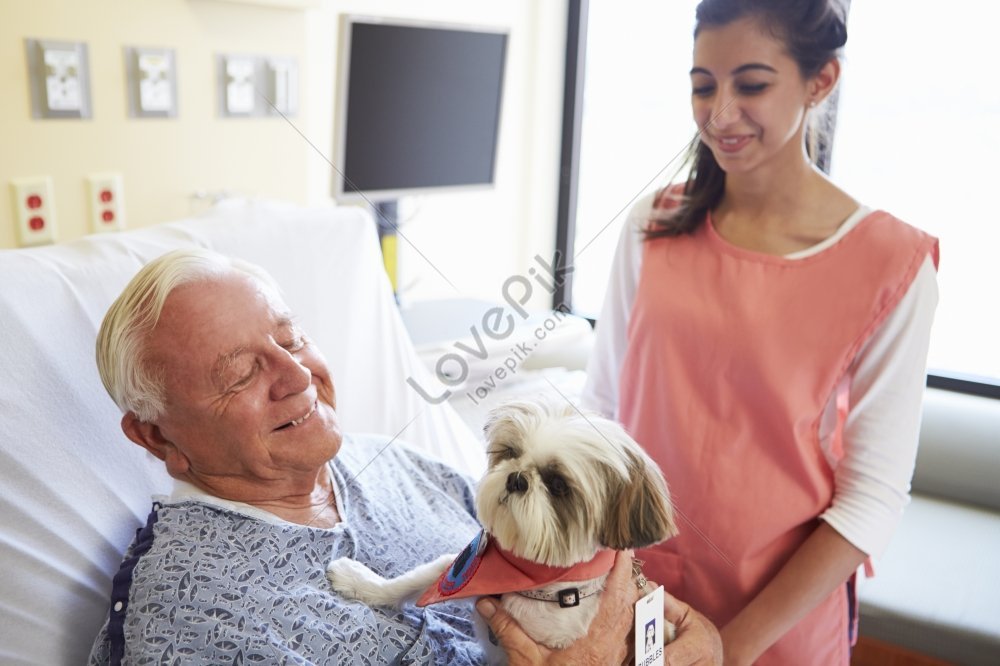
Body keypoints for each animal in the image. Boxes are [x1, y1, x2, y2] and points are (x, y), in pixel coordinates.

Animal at [328, 396, 680, 656]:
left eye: (558, 485)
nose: (517, 478)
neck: (529, 577)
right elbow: (412, 581)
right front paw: (360, 582)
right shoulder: (460, 569)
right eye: (511, 453)